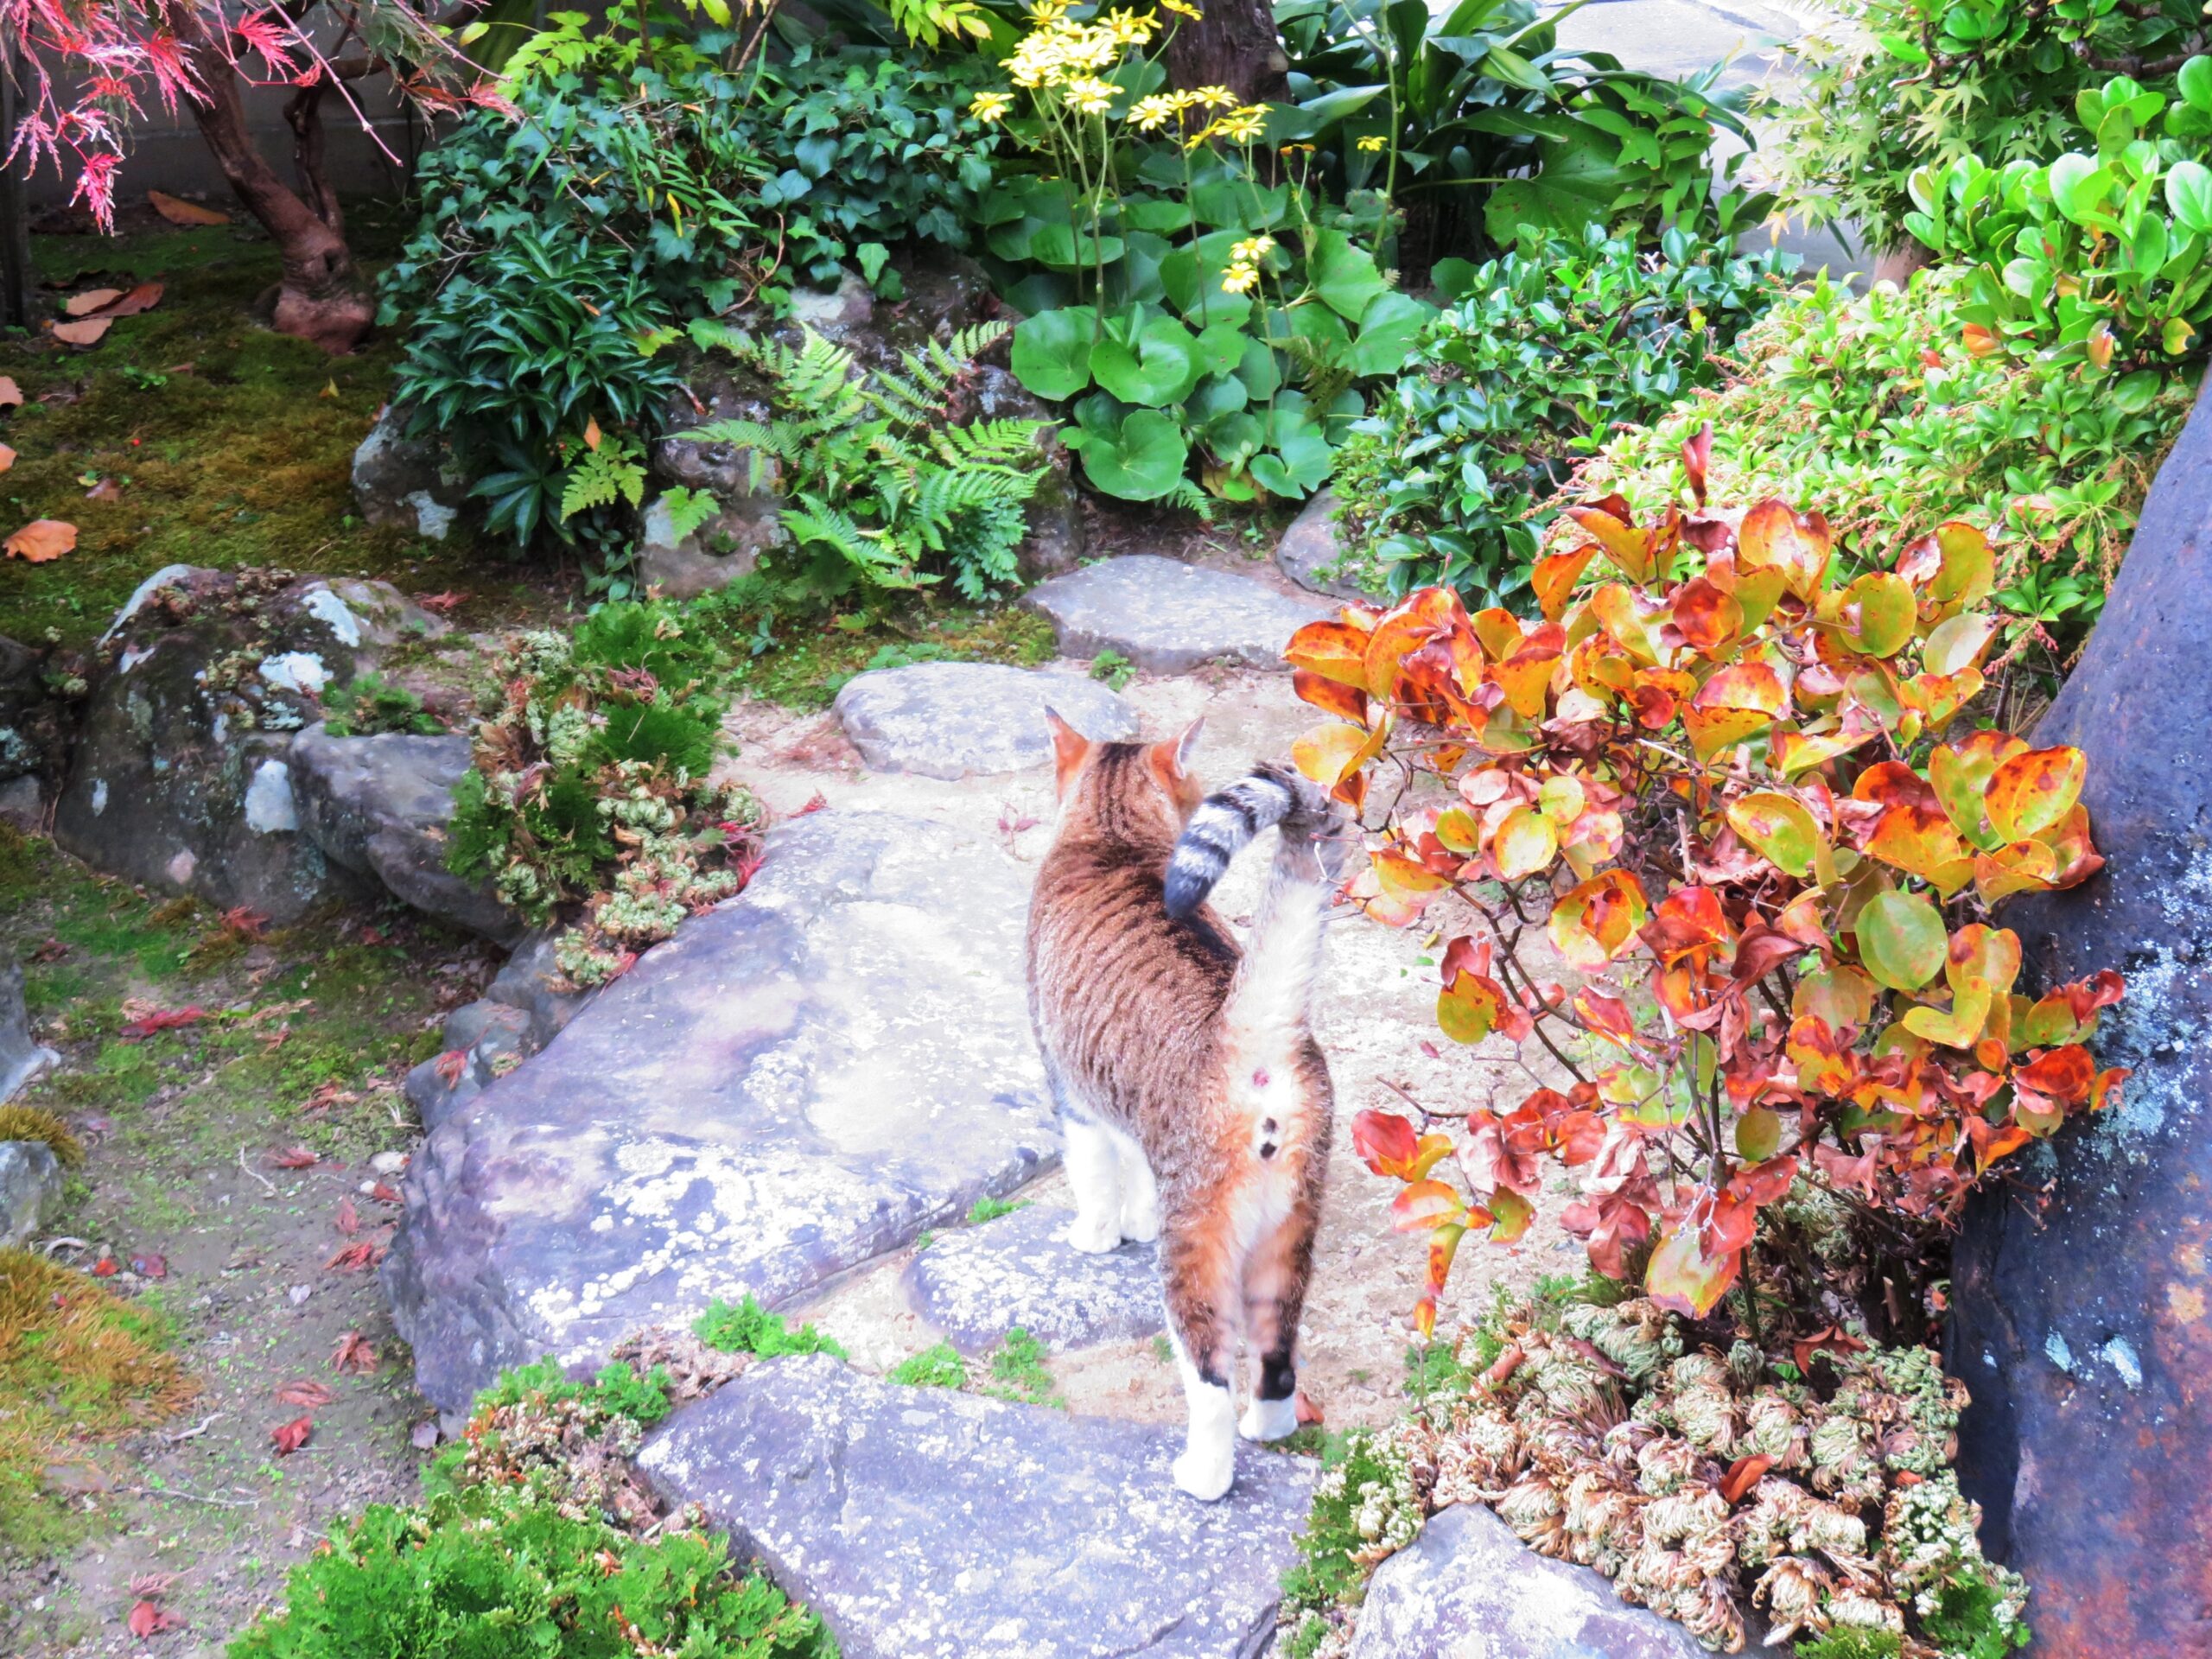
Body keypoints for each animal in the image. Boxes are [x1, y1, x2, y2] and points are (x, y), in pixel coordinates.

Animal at [1026, 716, 1336, 1503]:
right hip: (1289, 1234)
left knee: (1211, 1378)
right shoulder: (1130, 1113)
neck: (1111, 837)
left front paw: (1098, 1236)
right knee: (1277, 1358)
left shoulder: (1072, 1097)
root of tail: (1247, 1028)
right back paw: (1269, 1428)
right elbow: (1136, 1176)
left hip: (1197, 1248)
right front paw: (1134, 1219)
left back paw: (1204, 1475)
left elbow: (1096, 1180)